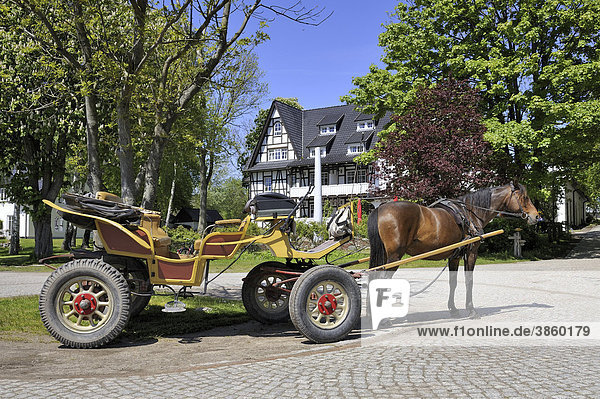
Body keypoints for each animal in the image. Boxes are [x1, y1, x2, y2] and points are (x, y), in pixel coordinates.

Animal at [366, 184, 540, 318]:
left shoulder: (454, 256)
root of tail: (380, 208)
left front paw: (454, 309)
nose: (536, 216)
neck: (470, 213)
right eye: (525, 197)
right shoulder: (471, 253)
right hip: (394, 258)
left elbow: (453, 282)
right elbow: (469, 281)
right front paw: (471, 309)